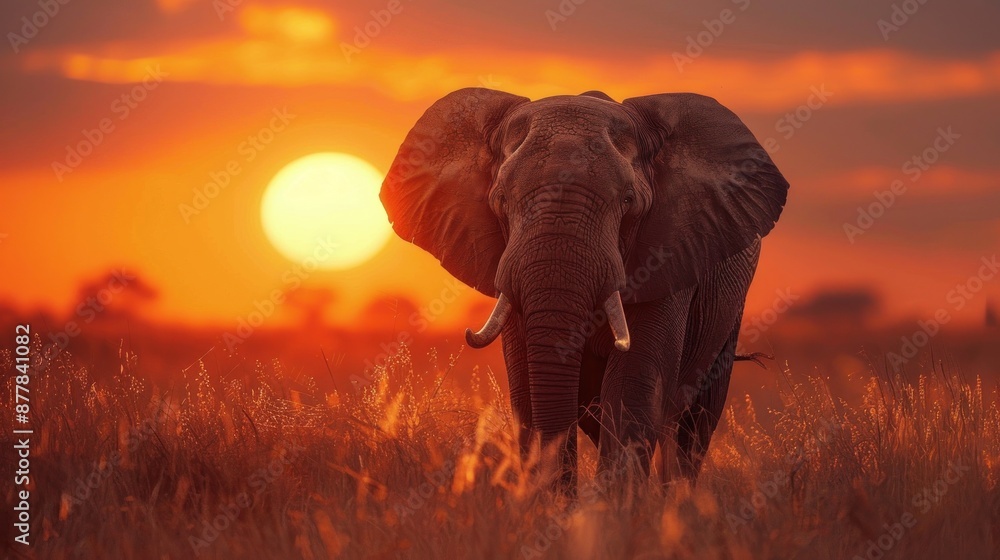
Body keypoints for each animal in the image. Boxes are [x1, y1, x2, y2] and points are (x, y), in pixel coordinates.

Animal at [379, 88, 789, 489]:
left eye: (628, 201)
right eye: (500, 201)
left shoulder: (671, 250)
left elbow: (633, 383)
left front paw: (611, 509)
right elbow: (527, 389)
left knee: (694, 424)